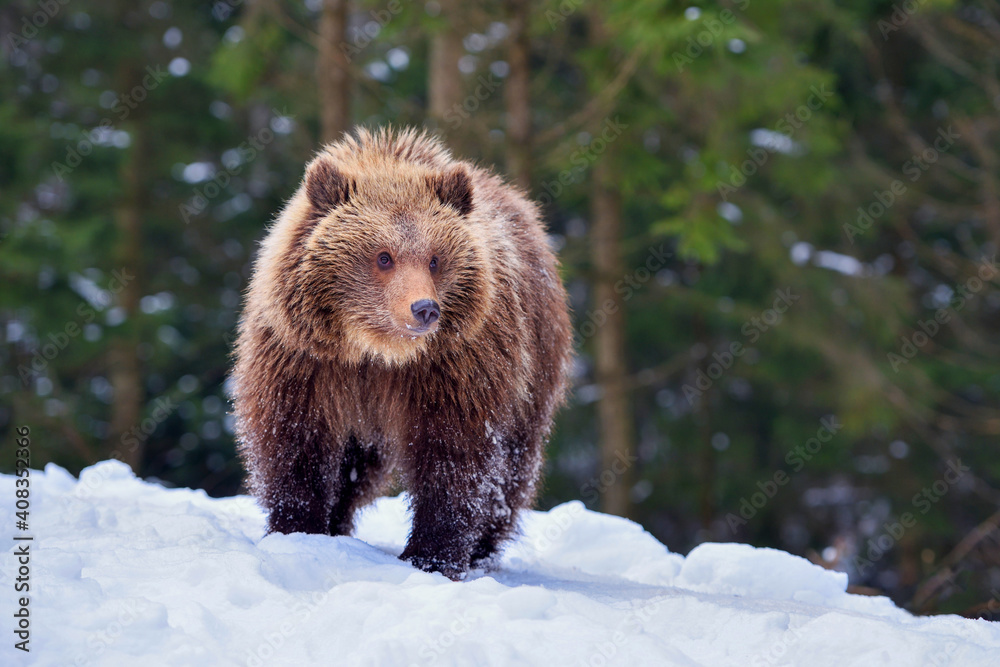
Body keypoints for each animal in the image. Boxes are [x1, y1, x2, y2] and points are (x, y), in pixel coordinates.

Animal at [231, 127, 573, 579]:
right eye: (383, 256)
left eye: (434, 259)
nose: (424, 308)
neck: (377, 352)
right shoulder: (307, 361)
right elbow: (295, 439)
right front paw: (297, 530)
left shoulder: (454, 369)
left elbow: (454, 455)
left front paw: (432, 555)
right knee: (357, 467)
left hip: (535, 369)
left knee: (513, 468)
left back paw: (483, 549)